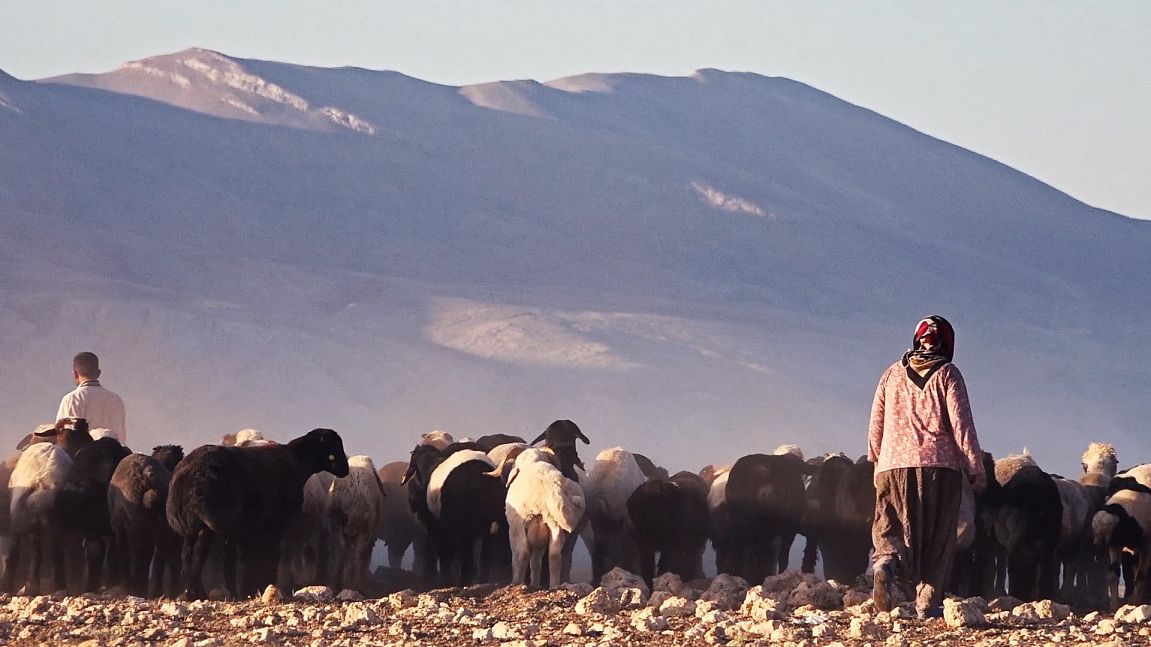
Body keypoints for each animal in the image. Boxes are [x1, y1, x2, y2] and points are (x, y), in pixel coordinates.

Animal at [166, 428, 349, 600]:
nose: (345, 469)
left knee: (187, 554)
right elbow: (266, 557)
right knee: (199, 554)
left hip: (189, 523)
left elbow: (237, 560)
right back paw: (196, 593)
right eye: (332, 451)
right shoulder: (273, 523)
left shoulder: (242, 529)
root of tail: (192, 474)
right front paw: (260, 587)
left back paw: (190, 592)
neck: (298, 461)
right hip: (208, 522)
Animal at [503, 448, 586, 588]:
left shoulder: (514, 529)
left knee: (523, 552)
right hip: (555, 523)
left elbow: (518, 556)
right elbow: (536, 562)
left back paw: (517, 583)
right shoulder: (539, 539)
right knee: (554, 556)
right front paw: (535, 584)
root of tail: (552, 486)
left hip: (520, 523)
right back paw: (553, 586)